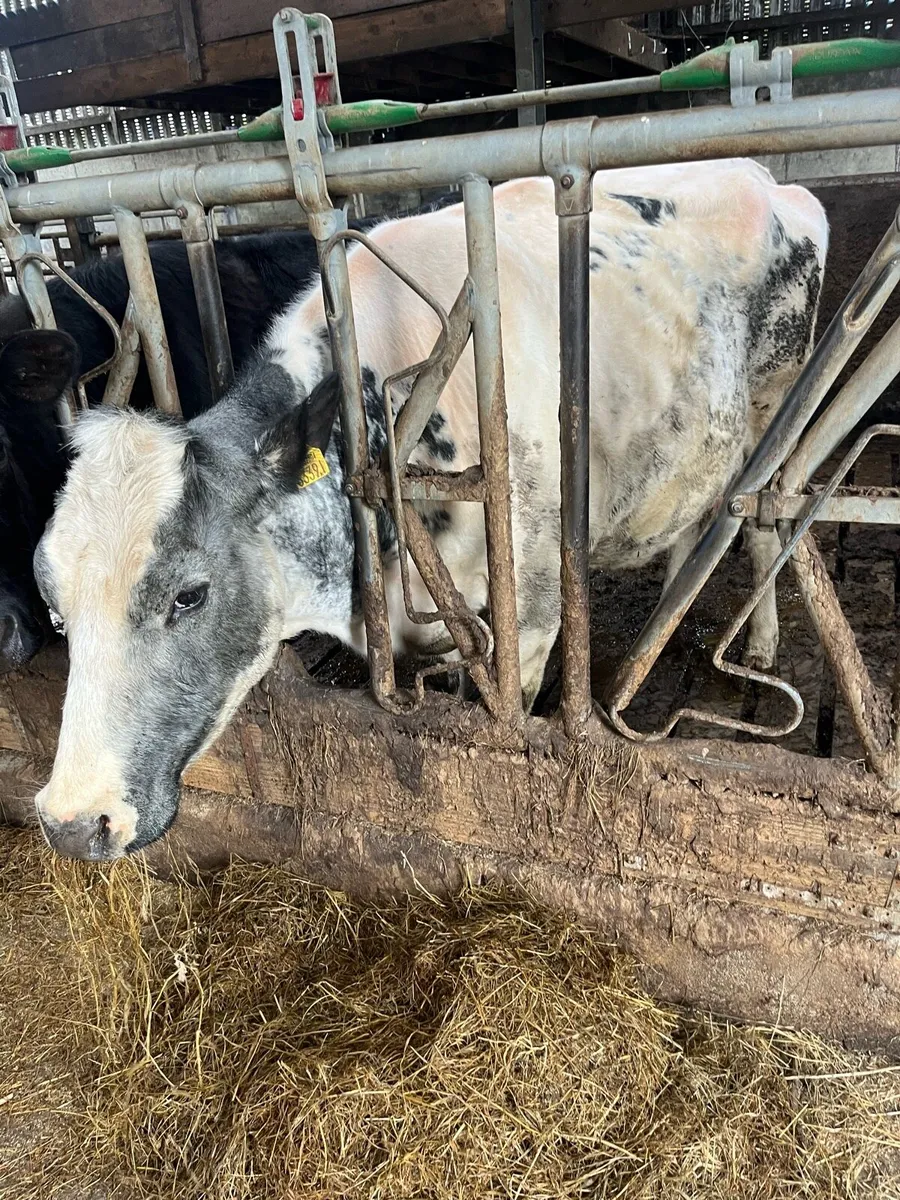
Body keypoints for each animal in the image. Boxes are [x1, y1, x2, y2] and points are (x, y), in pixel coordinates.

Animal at [32, 159, 828, 860]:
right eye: (55, 607)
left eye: (190, 595)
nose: (73, 822)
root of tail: (762, 175)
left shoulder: (531, 622)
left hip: (773, 411)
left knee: (758, 521)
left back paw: (757, 646)